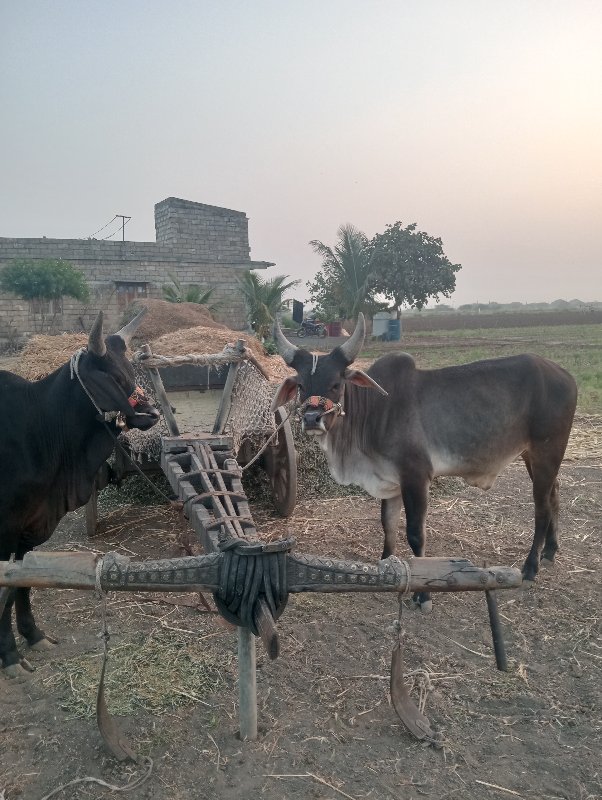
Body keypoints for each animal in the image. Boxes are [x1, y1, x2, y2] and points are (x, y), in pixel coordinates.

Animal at [0, 310, 160, 675]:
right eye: (113, 376)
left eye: (131, 370)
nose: (154, 412)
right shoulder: (5, 532)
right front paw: (9, 656)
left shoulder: (28, 531)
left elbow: (21, 585)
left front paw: (33, 636)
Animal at [272, 313, 577, 610]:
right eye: (301, 385)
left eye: (336, 384)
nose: (312, 419)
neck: (375, 410)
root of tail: (566, 375)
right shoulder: (391, 481)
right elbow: (388, 525)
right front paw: (385, 567)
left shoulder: (416, 478)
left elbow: (415, 534)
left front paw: (423, 596)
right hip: (533, 456)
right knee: (554, 494)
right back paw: (550, 551)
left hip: (547, 452)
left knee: (541, 507)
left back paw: (531, 567)